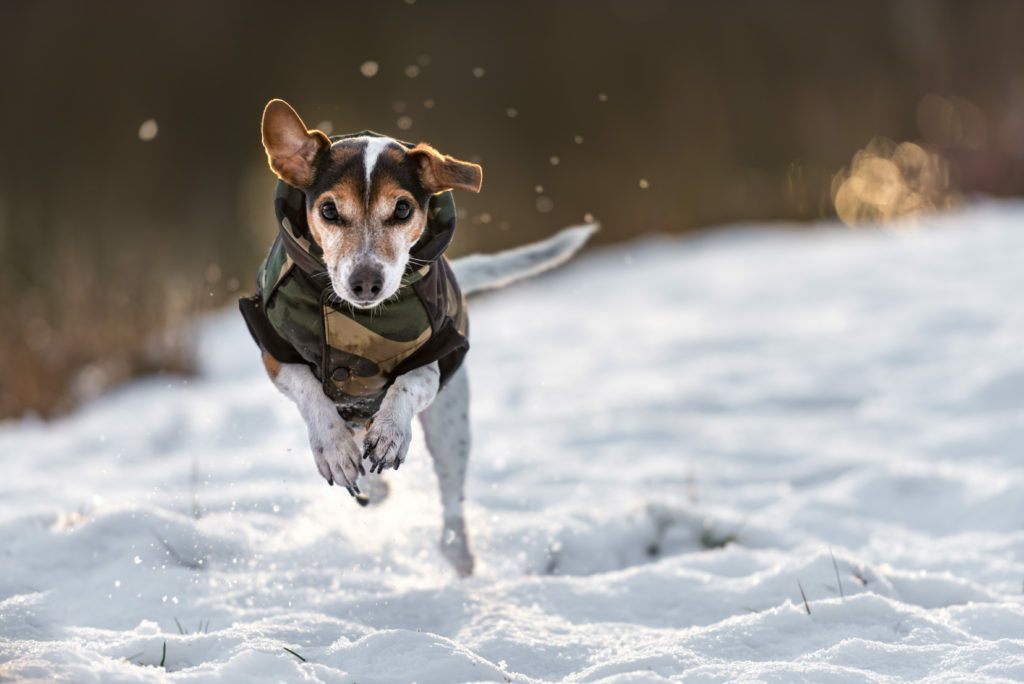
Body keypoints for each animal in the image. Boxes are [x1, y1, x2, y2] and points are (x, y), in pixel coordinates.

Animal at [240, 98, 593, 573]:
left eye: (403, 210)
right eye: (329, 211)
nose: (366, 283)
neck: (360, 320)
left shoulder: (438, 355)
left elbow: (407, 384)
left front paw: (391, 432)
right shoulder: (275, 353)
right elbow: (311, 392)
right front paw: (333, 448)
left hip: (450, 424)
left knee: (450, 498)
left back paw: (458, 552)